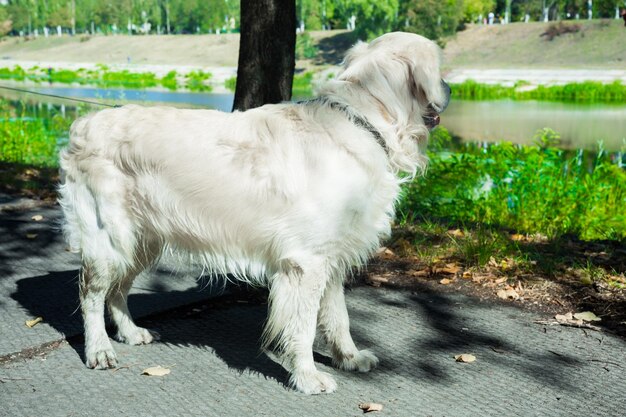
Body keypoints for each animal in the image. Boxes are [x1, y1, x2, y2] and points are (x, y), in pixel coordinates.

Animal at [58, 32, 448, 394]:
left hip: (142, 239)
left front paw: (349, 357)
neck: (361, 121)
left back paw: (129, 331)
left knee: (118, 289)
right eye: (439, 67)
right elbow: (304, 326)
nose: (448, 87)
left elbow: (338, 315)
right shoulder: (306, 262)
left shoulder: (331, 256)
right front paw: (307, 377)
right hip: (110, 235)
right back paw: (99, 349)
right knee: (92, 293)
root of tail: (84, 125)